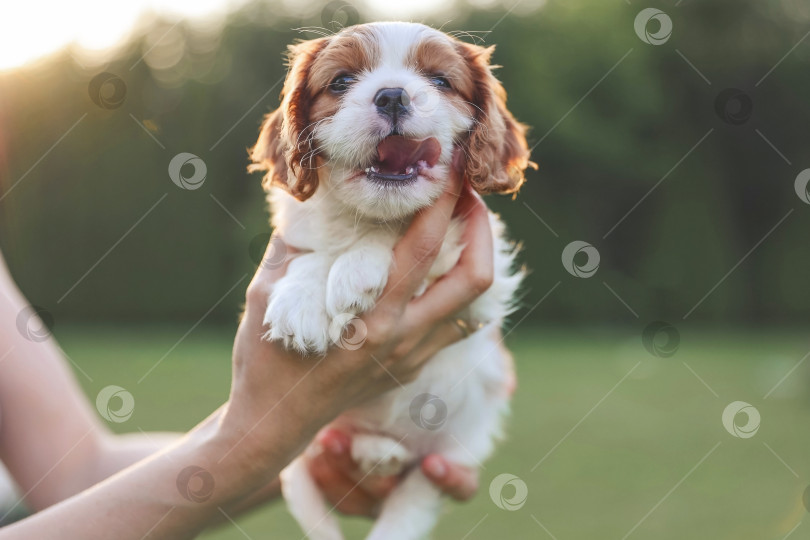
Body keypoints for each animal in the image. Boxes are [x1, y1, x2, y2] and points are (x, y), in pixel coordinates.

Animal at [249, 21, 532, 540]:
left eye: (440, 81)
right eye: (341, 82)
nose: (394, 96)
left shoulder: (486, 273)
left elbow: (392, 237)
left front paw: (356, 266)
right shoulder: (297, 232)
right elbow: (311, 252)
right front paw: (301, 302)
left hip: (458, 441)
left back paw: (383, 455)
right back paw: (375, 451)